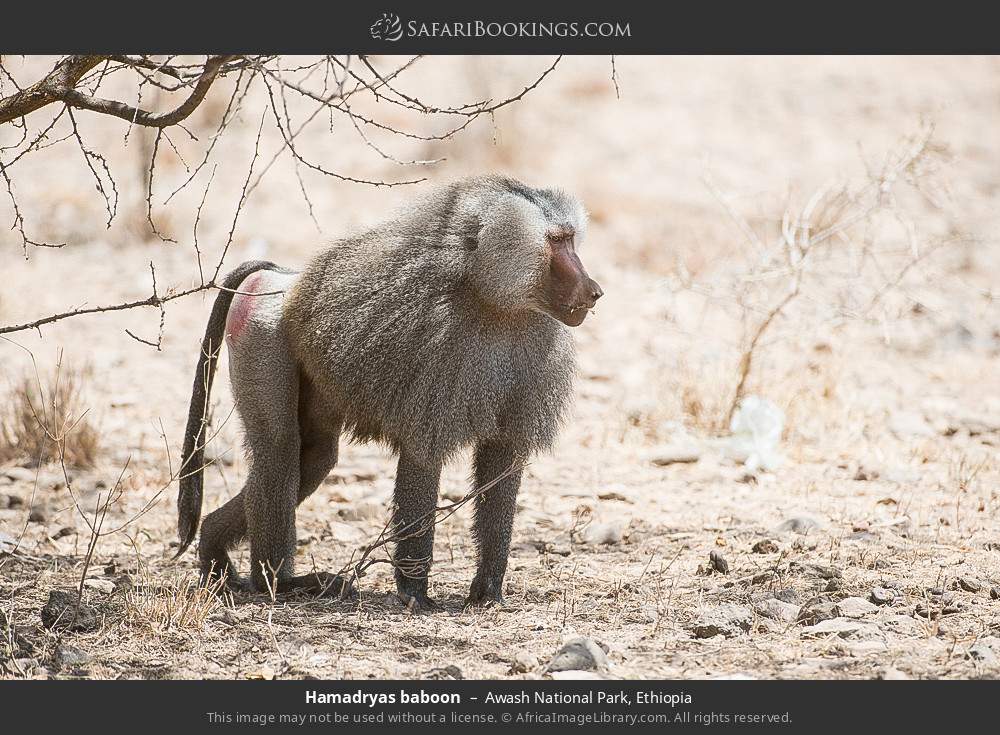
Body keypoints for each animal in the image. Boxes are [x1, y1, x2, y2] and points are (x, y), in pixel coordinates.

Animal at [175, 174, 603, 610]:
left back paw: (214, 550)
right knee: (279, 450)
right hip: (260, 334)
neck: (492, 300)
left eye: (570, 239)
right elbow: (421, 459)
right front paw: (415, 593)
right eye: (557, 241)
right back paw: (281, 583)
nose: (594, 291)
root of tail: (283, 276)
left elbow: (502, 462)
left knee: (313, 457)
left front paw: (489, 590)